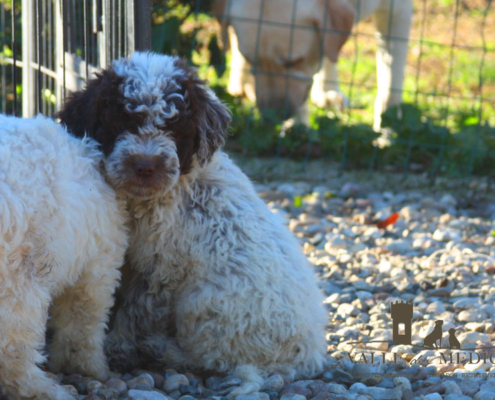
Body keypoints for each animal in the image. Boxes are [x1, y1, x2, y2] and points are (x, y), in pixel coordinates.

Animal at [0, 114, 128, 398]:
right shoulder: (98, 262)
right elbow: (84, 316)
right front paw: (88, 367)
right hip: (21, 276)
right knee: (14, 347)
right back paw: (41, 389)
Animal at [217, 0, 414, 129]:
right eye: (252, 60)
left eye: (295, 61)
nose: (271, 117)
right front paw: (297, 126)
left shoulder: (397, 11)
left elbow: (390, 86)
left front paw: (387, 132)